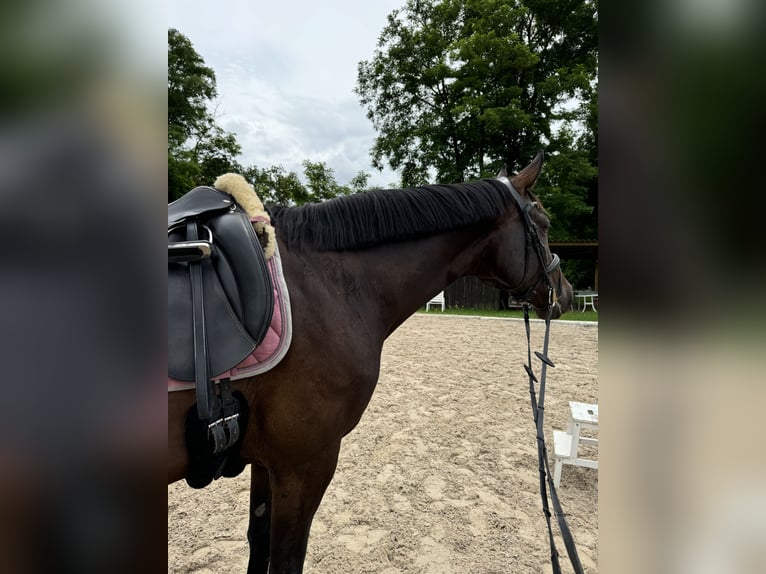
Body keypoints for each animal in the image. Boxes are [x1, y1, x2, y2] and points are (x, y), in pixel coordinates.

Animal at [170, 154, 576, 574]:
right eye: (544, 224)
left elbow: (258, 541)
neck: (326, 285)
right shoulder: (304, 465)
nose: (566, 293)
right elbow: (286, 558)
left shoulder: (268, 461)